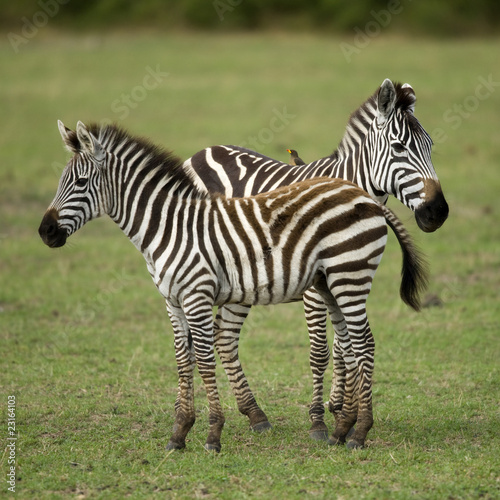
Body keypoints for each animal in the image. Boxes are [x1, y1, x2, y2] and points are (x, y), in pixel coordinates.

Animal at [40, 122, 430, 454]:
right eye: (62, 180)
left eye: (80, 182)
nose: (45, 232)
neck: (169, 227)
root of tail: (362, 194)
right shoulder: (172, 300)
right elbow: (183, 359)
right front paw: (179, 433)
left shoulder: (197, 295)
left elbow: (204, 359)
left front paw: (212, 434)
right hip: (330, 282)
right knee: (350, 345)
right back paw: (340, 430)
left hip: (350, 275)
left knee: (364, 344)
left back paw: (359, 433)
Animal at [181, 77, 450, 438]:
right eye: (398, 148)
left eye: (430, 147)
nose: (438, 212)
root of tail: (204, 151)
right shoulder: (314, 290)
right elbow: (321, 351)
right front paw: (319, 419)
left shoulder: (347, 279)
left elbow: (343, 346)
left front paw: (340, 408)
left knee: (223, 336)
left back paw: (254, 413)